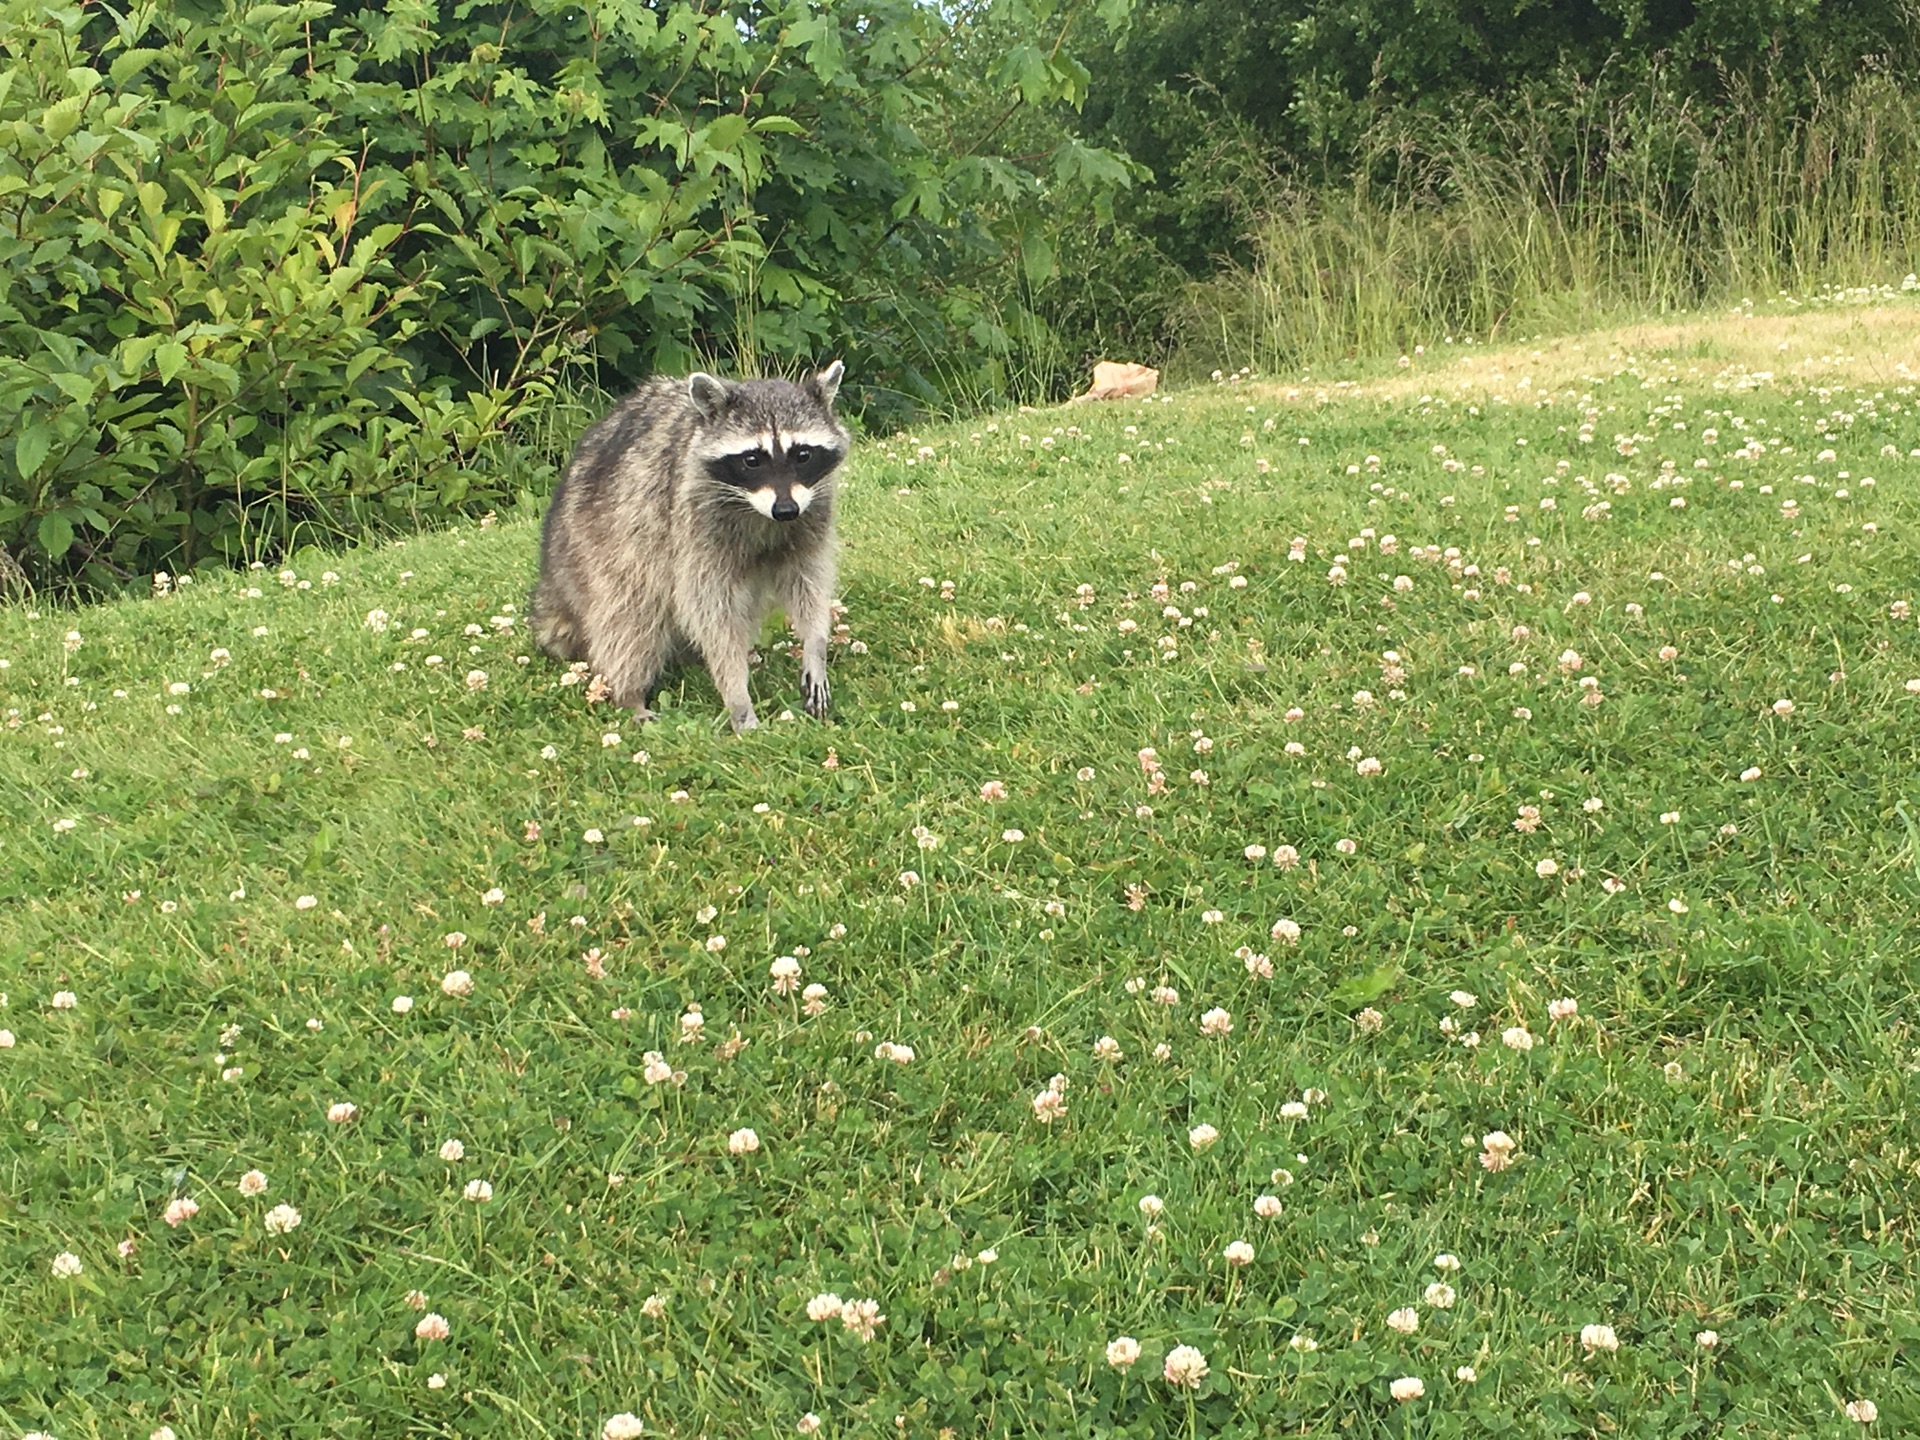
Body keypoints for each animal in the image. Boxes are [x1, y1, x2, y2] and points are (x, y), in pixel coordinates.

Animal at [533, 360, 848, 733]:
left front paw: (815, 644)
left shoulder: (812, 512)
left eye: (803, 455)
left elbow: (807, 582)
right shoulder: (693, 521)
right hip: (608, 542)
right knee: (630, 617)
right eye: (752, 460)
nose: (785, 510)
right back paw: (629, 692)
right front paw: (736, 691)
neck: (757, 511)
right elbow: (711, 612)